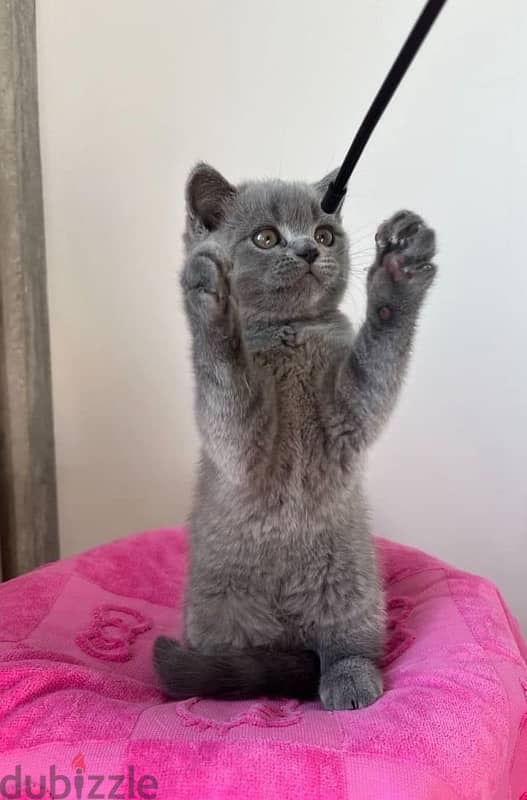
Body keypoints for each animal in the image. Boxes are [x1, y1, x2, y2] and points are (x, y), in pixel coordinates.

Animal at [154, 159, 438, 708]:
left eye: (325, 234)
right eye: (265, 237)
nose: (308, 250)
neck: (291, 332)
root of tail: (287, 630)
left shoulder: (349, 415)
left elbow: (377, 358)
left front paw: (397, 271)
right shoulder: (238, 441)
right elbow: (227, 377)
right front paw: (210, 299)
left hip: (353, 588)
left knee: (345, 645)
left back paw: (350, 680)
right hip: (218, 613)